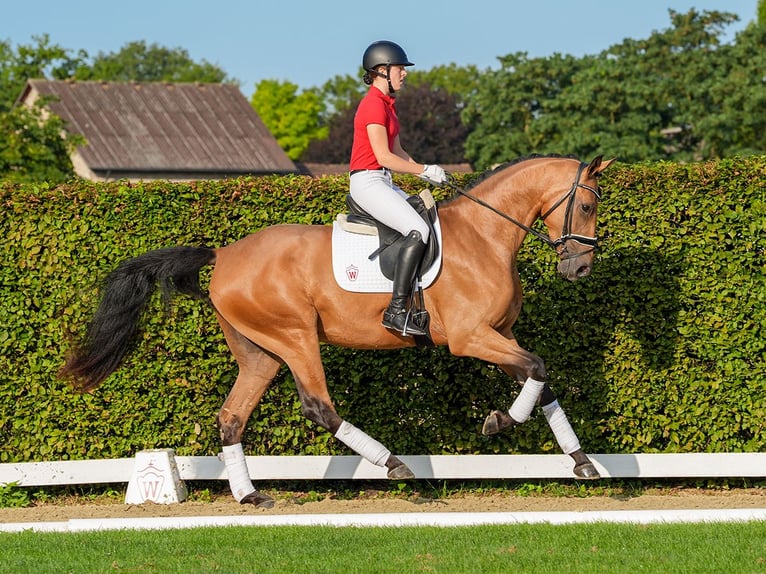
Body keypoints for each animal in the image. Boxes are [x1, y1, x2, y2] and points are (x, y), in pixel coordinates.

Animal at [63, 154, 620, 508]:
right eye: (588, 206)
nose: (579, 269)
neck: (485, 236)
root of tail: (222, 255)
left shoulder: (498, 335)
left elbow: (541, 381)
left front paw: (582, 462)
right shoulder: (471, 338)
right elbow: (539, 370)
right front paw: (500, 422)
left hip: (260, 352)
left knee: (232, 416)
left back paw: (250, 495)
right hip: (295, 337)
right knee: (318, 407)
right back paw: (394, 464)